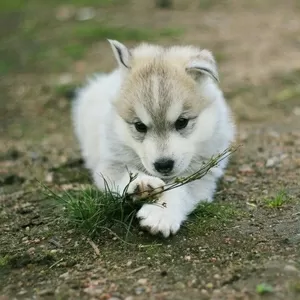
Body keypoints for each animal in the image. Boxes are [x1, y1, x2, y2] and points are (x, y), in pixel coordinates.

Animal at [71, 39, 236, 237]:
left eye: (182, 122)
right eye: (139, 126)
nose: (163, 165)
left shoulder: (202, 174)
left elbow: (180, 189)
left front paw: (161, 214)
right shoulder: (110, 162)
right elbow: (124, 174)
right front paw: (141, 184)